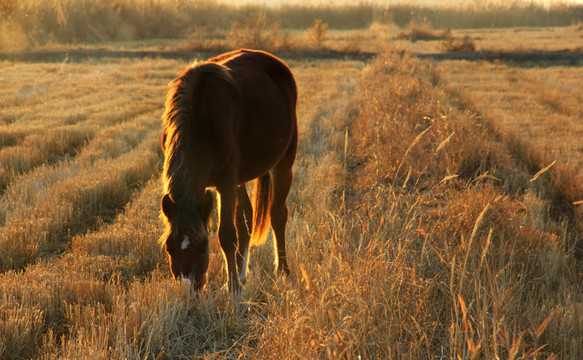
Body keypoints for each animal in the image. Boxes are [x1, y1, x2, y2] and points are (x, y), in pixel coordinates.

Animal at [159, 49, 298, 294]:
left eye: (202, 245)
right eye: (169, 247)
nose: (189, 289)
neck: (201, 120)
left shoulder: (225, 182)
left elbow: (226, 234)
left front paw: (231, 287)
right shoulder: (221, 183)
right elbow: (238, 225)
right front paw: (235, 280)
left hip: (283, 164)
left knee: (278, 215)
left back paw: (283, 272)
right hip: (240, 179)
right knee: (246, 219)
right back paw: (243, 274)